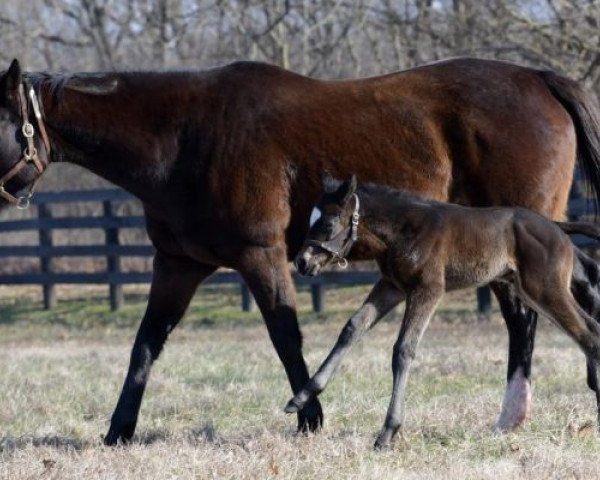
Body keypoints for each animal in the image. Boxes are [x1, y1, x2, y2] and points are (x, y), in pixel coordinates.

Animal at [284, 176, 600, 450]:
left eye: (328, 221)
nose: (301, 262)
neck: (405, 229)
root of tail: (556, 227)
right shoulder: (392, 286)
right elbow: (353, 327)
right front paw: (299, 398)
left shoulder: (428, 289)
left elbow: (404, 349)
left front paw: (387, 433)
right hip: (530, 290)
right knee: (591, 329)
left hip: (545, 289)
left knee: (587, 335)